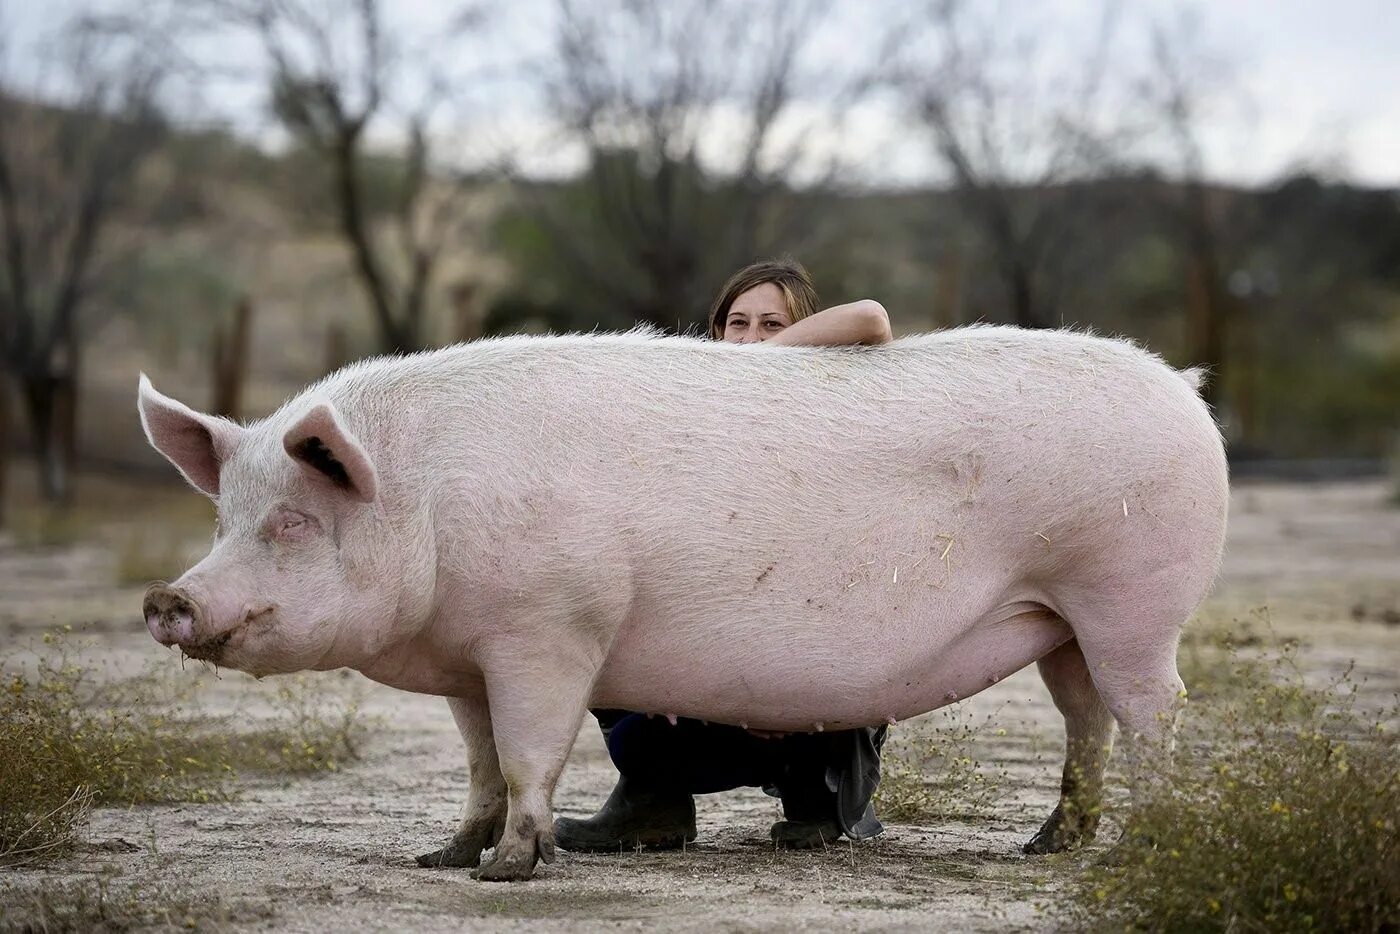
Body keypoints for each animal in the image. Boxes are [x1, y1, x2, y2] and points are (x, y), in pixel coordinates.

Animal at [133, 329, 1226, 884]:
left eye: (290, 523)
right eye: (226, 516)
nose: (168, 596)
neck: (425, 494)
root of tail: (1184, 388)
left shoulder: (549, 628)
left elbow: (529, 752)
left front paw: (508, 872)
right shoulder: (467, 660)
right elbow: (479, 763)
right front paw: (440, 855)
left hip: (1129, 598)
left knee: (1152, 713)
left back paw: (1147, 842)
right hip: (1060, 621)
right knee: (1083, 716)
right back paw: (1047, 845)